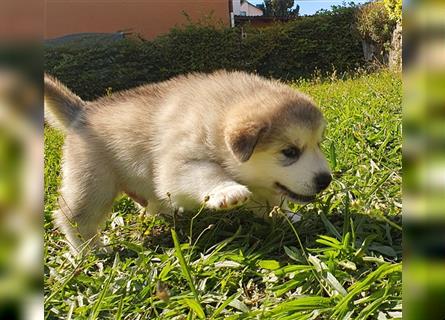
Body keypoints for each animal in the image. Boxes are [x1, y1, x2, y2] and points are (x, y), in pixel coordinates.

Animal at [44, 70, 330, 252]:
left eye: (319, 144)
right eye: (290, 152)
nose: (326, 180)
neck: (217, 112)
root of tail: (82, 110)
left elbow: (271, 199)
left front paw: (287, 216)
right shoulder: (179, 164)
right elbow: (207, 173)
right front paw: (227, 191)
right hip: (94, 183)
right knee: (73, 216)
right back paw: (89, 251)